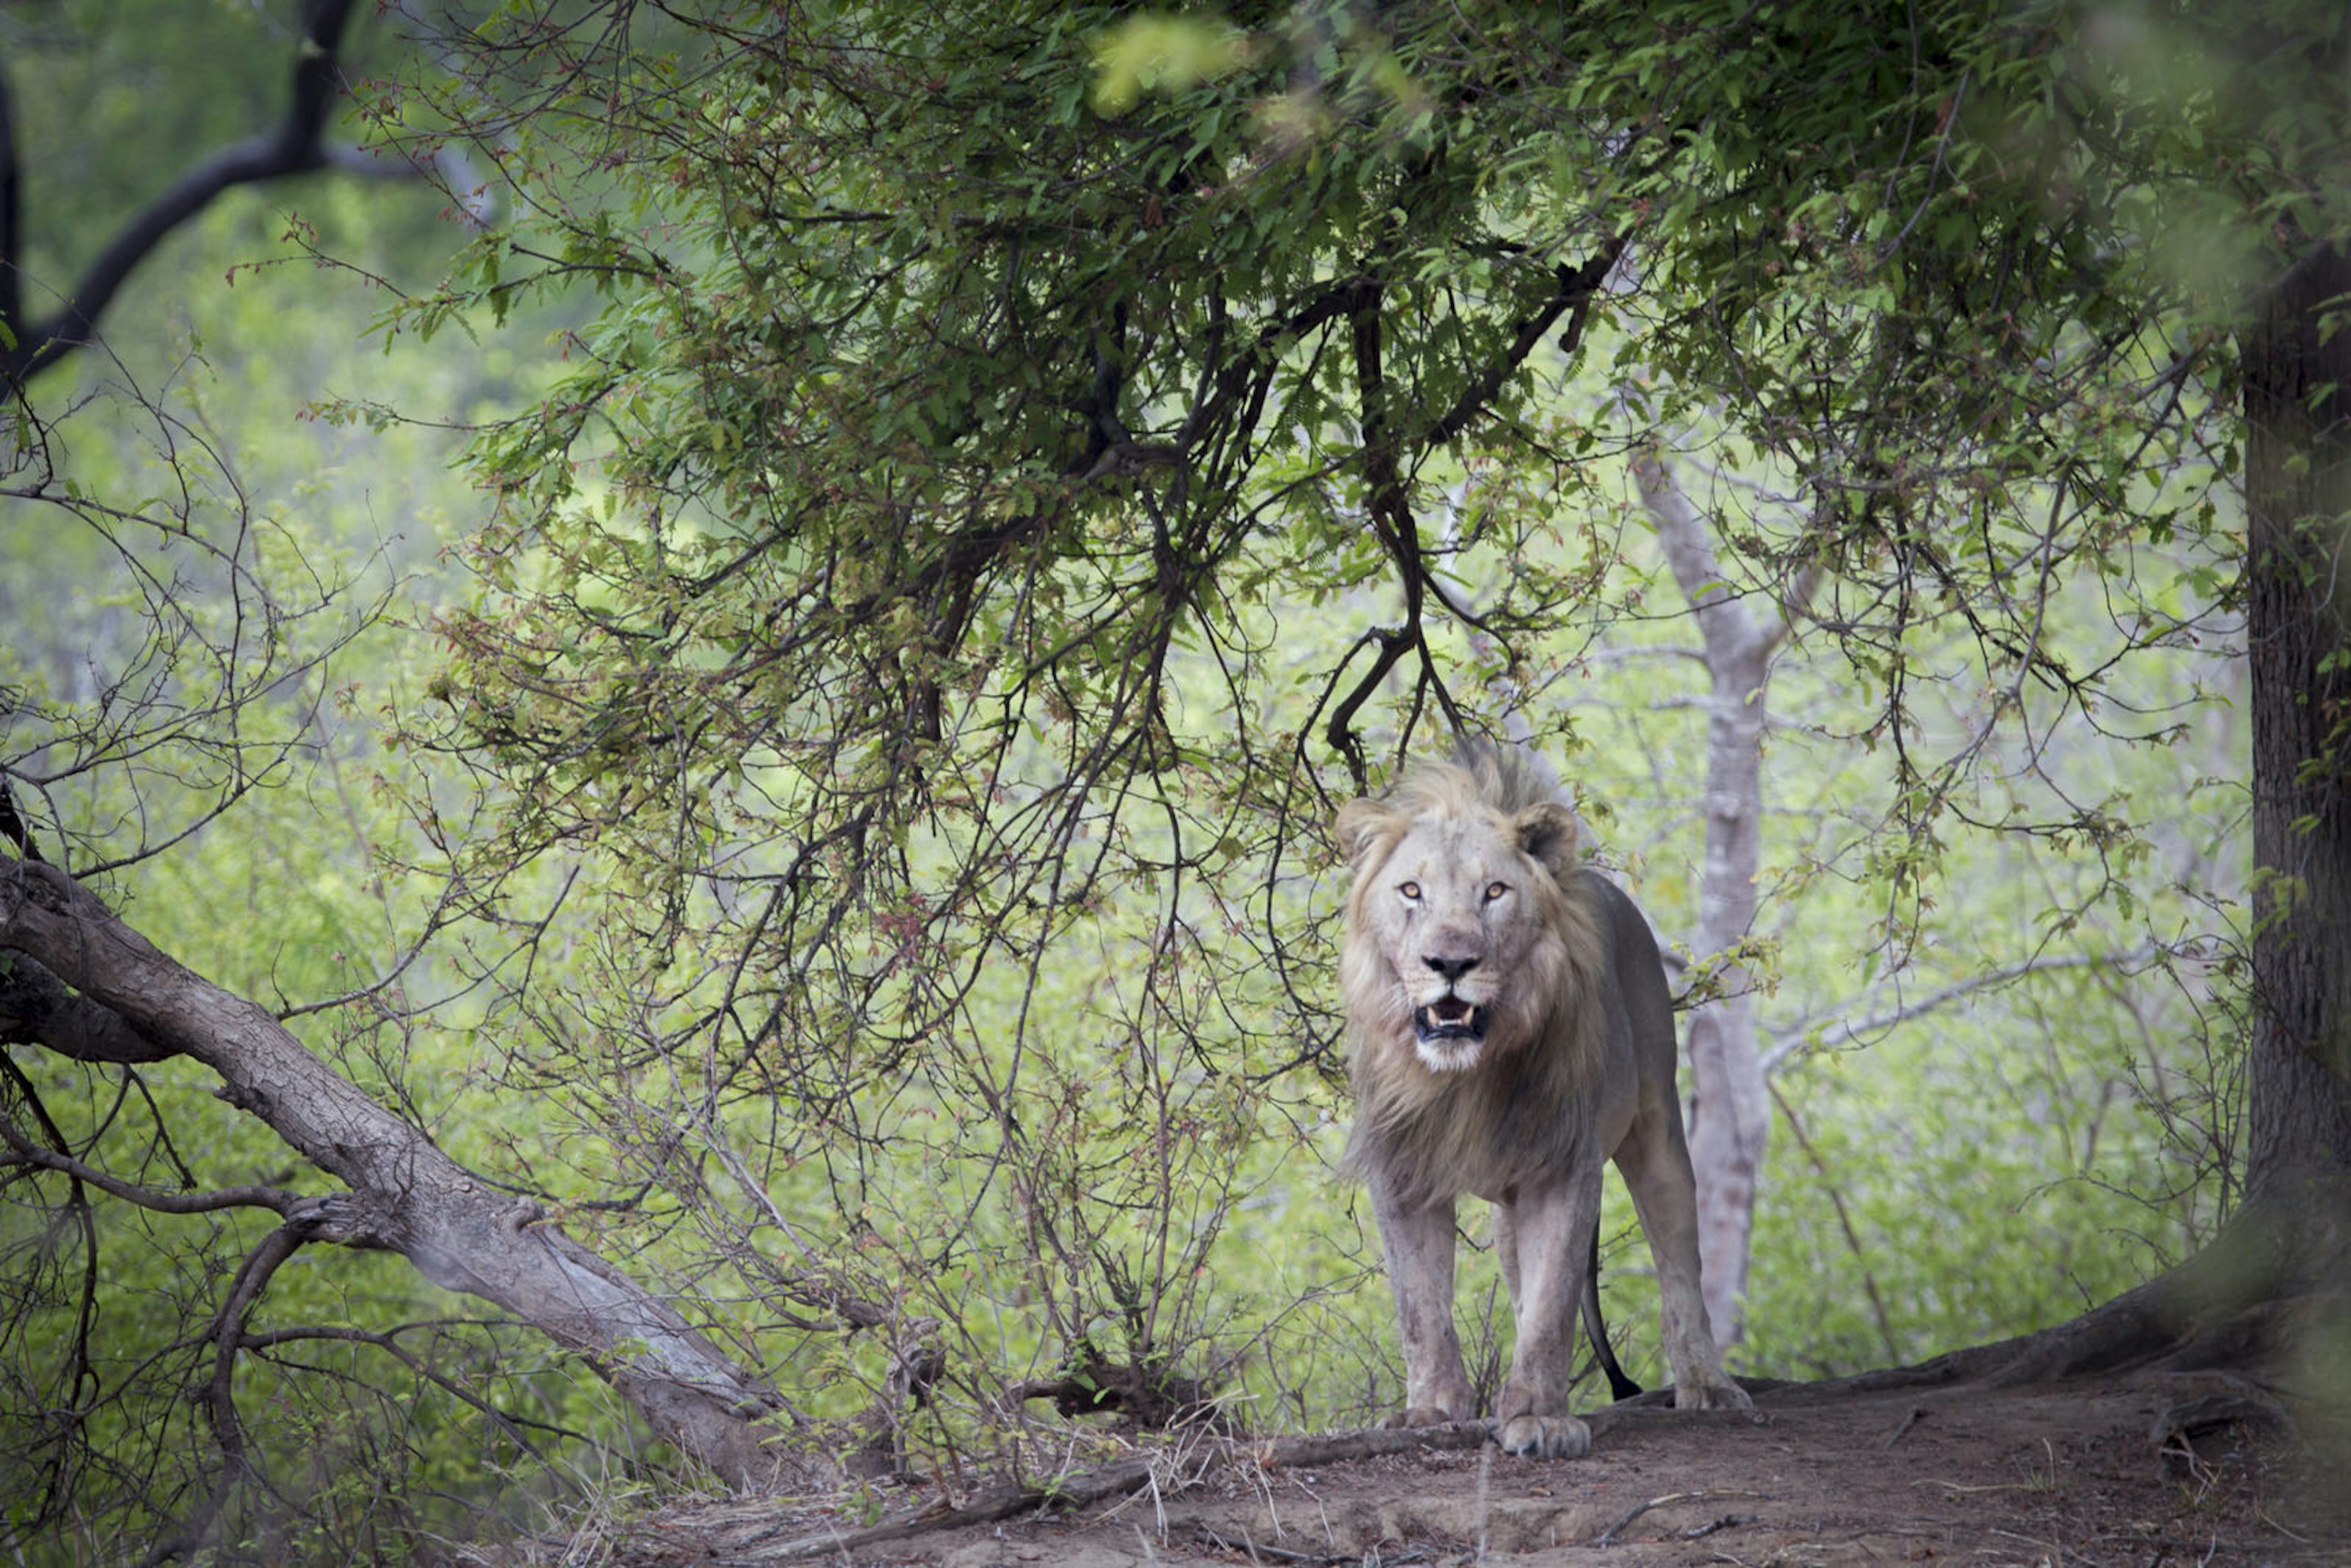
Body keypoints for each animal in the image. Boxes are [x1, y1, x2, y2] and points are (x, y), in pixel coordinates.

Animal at [1335, 747, 1758, 1457]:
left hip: (1657, 1129)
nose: (1450, 961)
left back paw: (1709, 1384)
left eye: (1494, 892)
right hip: (1509, 1204)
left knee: (1680, 1266)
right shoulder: (1403, 1170)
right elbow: (1421, 1307)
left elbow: (1554, 1300)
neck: (1463, 1079)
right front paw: (1431, 1409)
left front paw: (1539, 1416)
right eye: (1411, 891)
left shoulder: (1565, 1167)